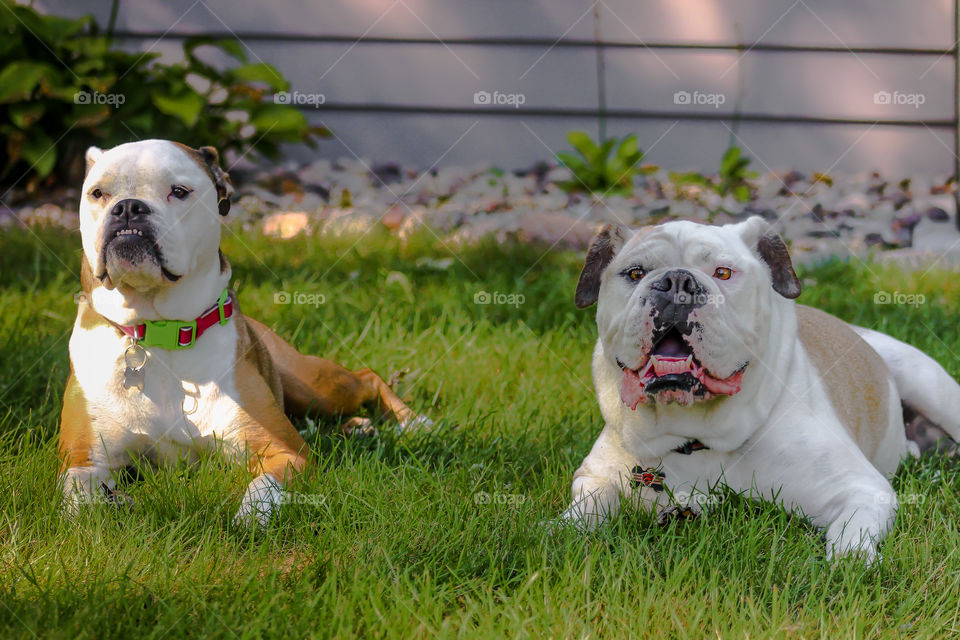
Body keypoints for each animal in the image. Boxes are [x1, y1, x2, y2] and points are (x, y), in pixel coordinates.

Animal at [62, 139, 430, 524]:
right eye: (98, 193)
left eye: (179, 191)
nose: (128, 208)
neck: (159, 331)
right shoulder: (85, 459)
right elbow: (77, 498)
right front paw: (105, 506)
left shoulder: (284, 452)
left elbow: (264, 487)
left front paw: (249, 518)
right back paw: (357, 426)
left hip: (317, 385)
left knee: (368, 377)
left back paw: (414, 422)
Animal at [560, 218, 960, 564]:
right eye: (636, 273)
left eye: (723, 273)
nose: (676, 281)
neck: (697, 435)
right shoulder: (596, 476)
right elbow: (585, 509)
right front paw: (562, 531)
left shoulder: (861, 489)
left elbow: (851, 530)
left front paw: (850, 559)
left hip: (929, 384)